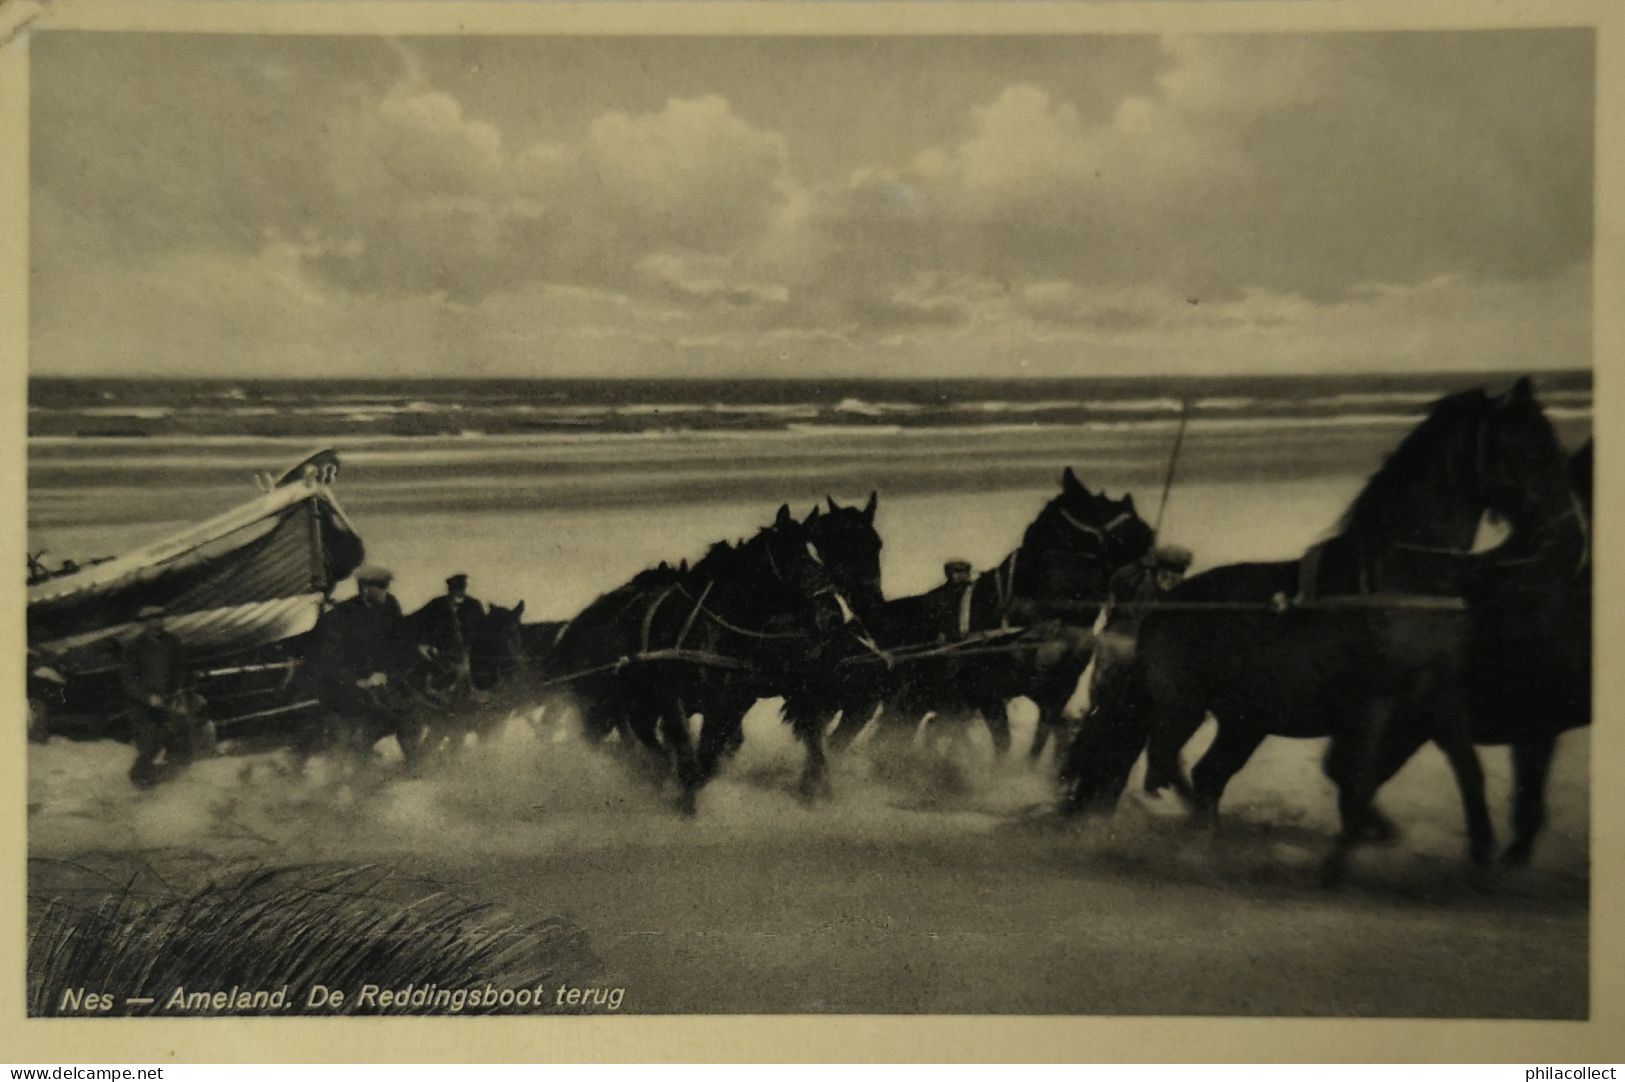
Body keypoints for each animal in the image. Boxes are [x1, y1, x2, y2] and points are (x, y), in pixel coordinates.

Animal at [549, 500, 877, 809]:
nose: (834, 615)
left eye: (818, 553)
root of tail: (579, 623)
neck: (712, 630)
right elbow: (688, 758)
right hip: (602, 702)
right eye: (794, 557)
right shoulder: (674, 701)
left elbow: (706, 760)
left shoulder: (727, 706)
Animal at [799, 464, 1157, 757]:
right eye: (1095, 510)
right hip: (867, 706)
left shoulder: (1053, 698)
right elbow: (1004, 747)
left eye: (1126, 507)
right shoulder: (987, 697)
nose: (1149, 535)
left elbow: (1034, 750)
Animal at [1059, 375, 1579, 883]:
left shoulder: (1440, 697)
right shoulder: (1374, 703)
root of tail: (1164, 604)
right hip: (1183, 705)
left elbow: (1467, 772)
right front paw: (1345, 855)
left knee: (1206, 774)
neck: (1400, 581)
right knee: (1168, 765)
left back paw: (1208, 843)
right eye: (1525, 448)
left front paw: (1483, 855)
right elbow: (1357, 778)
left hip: (1246, 719)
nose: (1568, 531)